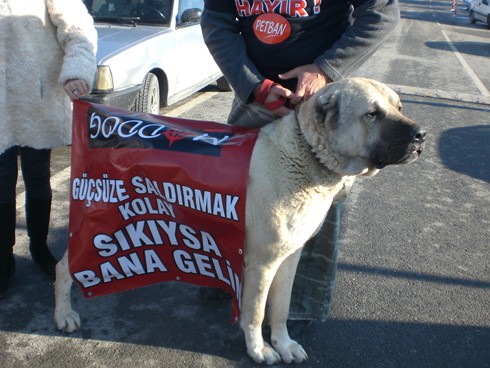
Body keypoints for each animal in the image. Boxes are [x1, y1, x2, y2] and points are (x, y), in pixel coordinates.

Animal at [52, 77, 422, 366]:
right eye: (372, 114)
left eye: (400, 106)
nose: (421, 135)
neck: (307, 152)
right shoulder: (262, 261)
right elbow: (256, 311)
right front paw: (259, 350)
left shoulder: (290, 256)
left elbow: (281, 307)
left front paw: (284, 344)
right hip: (102, 222)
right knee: (63, 267)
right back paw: (63, 315)